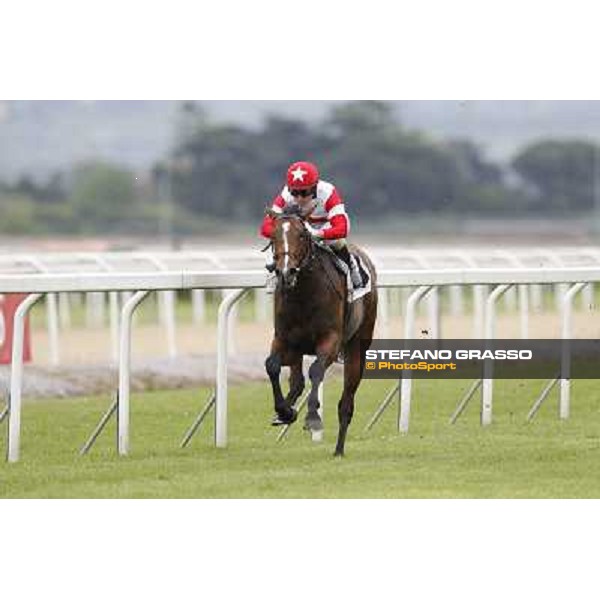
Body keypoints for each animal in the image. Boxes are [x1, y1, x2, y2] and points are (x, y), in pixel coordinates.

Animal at [264, 205, 378, 454]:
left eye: (301, 235)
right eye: (274, 236)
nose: (286, 272)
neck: (304, 294)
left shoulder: (330, 341)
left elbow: (316, 370)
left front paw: (313, 417)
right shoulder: (283, 339)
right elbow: (272, 366)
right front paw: (284, 411)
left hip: (358, 347)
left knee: (346, 402)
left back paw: (339, 449)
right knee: (297, 381)